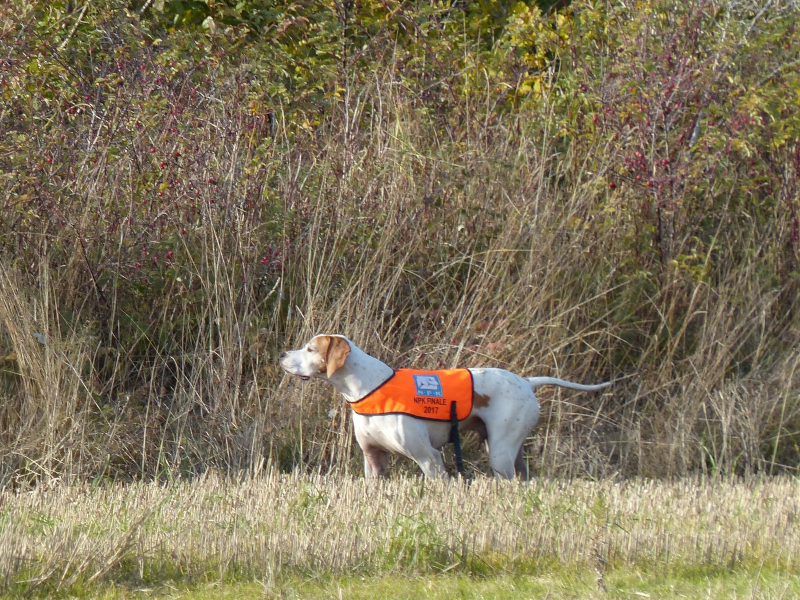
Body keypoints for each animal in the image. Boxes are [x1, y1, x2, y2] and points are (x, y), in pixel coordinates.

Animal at [282, 332, 612, 478]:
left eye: (310, 348)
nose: (283, 354)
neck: (369, 386)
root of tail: (527, 382)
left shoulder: (429, 457)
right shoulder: (373, 459)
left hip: (500, 453)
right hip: (509, 452)